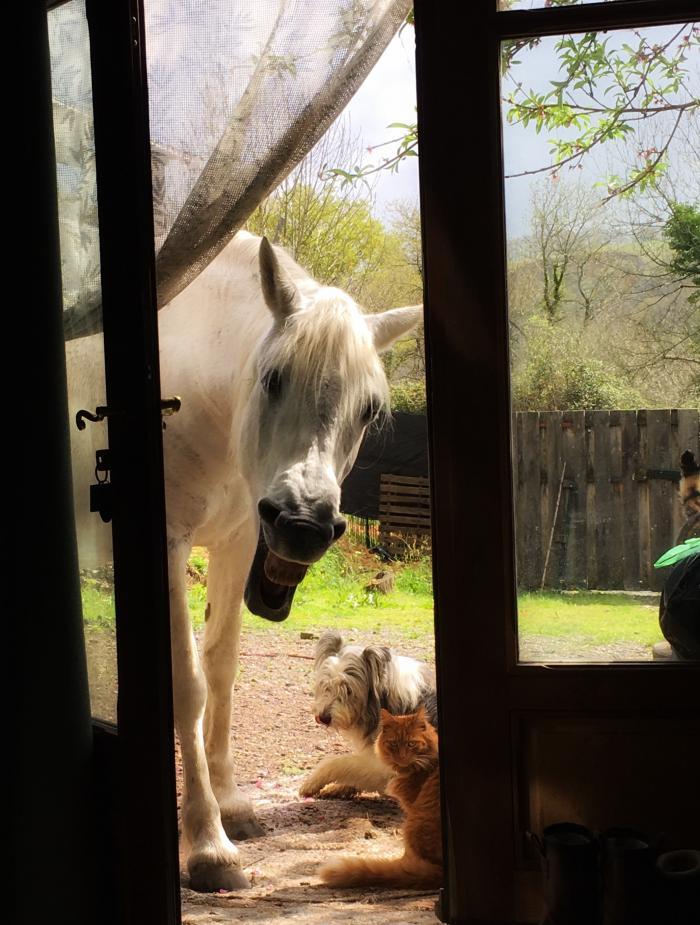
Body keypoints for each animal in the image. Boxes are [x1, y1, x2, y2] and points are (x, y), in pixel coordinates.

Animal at [69, 229, 422, 888]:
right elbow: (188, 686)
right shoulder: (170, 545)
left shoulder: (236, 543)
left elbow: (223, 671)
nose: (304, 524)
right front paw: (208, 843)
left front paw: (231, 804)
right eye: (274, 378)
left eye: (368, 409)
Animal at [300, 628, 438, 800]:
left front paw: (312, 782)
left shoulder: (388, 769)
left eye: (349, 689)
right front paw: (337, 787)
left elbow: (341, 762)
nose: (323, 718)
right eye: (326, 685)